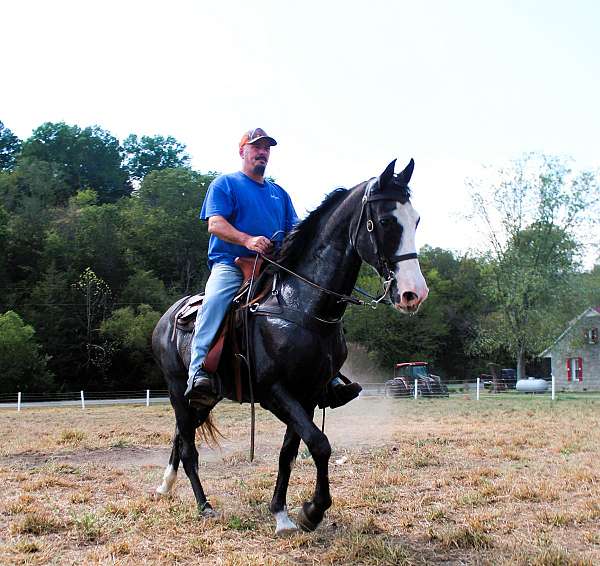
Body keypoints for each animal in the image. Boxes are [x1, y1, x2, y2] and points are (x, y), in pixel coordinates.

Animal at [152, 159, 428, 536]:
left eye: (416, 220)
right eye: (386, 221)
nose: (414, 293)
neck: (302, 304)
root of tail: (166, 318)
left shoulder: (308, 395)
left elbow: (291, 452)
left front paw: (282, 512)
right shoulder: (276, 392)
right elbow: (319, 444)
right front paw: (312, 510)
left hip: (204, 399)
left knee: (182, 438)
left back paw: (167, 485)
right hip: (178, 389)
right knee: (188, 446)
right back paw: (203, 505)